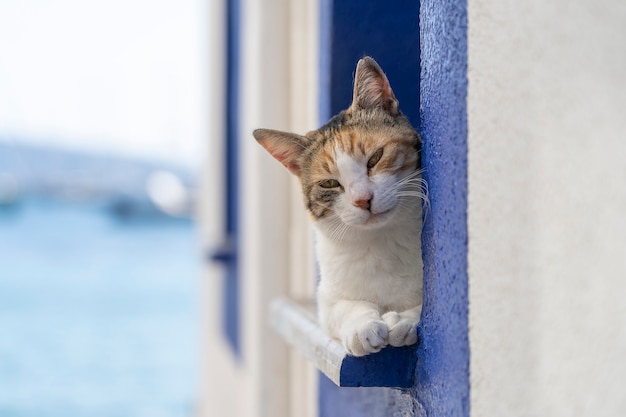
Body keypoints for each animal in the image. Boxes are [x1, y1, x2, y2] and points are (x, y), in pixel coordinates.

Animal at [254, 55, 424, 356]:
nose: (363, 199)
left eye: (375, 158)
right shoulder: (327, 297)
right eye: (329, 184)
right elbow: (343, 307)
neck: (383, 239)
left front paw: (405, 320)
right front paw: (362, 325)